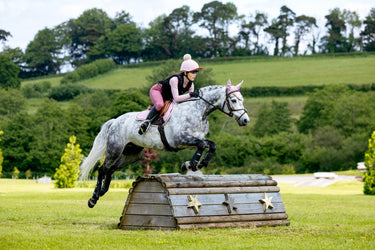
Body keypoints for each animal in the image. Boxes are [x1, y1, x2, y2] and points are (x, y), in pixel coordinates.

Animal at [79, 79, 250, 207]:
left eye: (242, 100)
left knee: (111, 168)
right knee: (102, 169)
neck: (198, 111)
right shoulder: (180, 139)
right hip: (115, 149)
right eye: (234, 100)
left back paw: (103, 191)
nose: (245, 120)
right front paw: (190, 164)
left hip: (131, 154)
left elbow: (211, 145)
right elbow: (202, 145)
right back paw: (93, 198)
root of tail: (115, 121)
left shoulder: (193, 140)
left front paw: (198, 164)